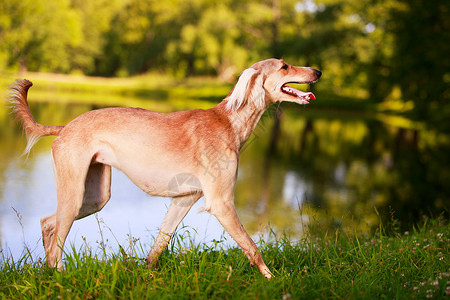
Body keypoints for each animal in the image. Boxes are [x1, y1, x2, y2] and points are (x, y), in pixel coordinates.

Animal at [9, 58, 320, 278]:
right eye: (284, 66)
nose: (317, 71)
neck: (228, 122)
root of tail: (65, 127)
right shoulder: (221, 203)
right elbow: (252, 247)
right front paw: (273, 280)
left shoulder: (183, 200)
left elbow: (159, 245)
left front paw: (147, 275)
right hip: (75, 194)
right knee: (56, 241)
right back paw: (57, 276)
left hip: (95, 198)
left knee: (48, 223)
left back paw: (48, 271)